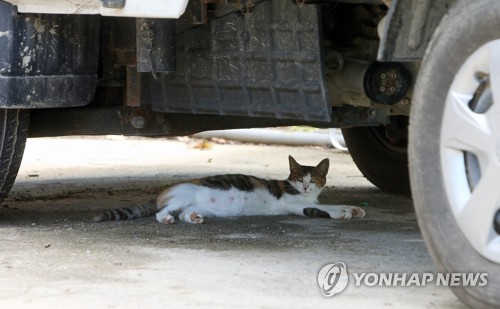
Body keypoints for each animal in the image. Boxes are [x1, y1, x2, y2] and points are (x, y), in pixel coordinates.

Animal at [94, 154, 366, 224]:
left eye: (314, 178)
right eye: (299, 177)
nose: (307, 186)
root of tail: (161, 194)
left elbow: (329, 204)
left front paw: (354, 209)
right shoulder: (296, 204)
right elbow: (325, 209)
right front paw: (342, 213)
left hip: (202, 208)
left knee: (184, 214)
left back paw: (193, 218)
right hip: (181, 197)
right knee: (162, 213)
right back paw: (166, 219)